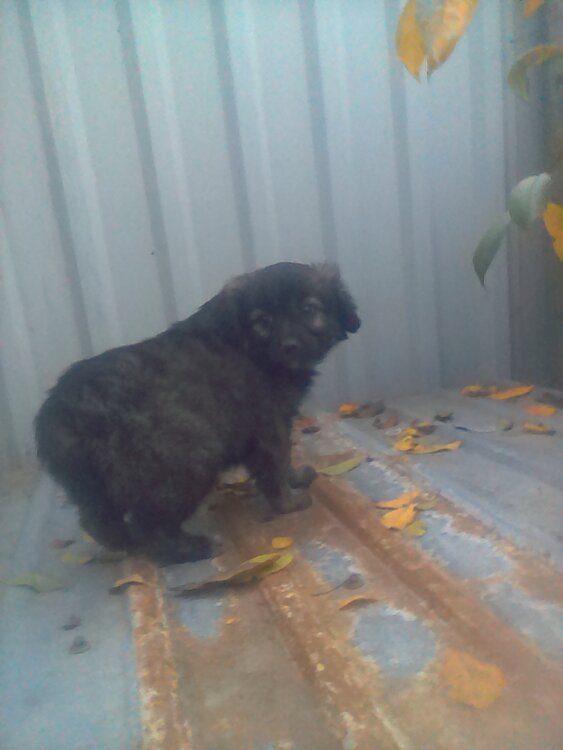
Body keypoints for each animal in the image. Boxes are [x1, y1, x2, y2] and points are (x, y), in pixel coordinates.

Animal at [35, 262, 360, 563]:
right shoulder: (268, 426)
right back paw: (190, 548)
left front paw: (294, 479)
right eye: (263, 321)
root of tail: (59, 416)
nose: (289, 346)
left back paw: (126, 544)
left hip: (94, 485)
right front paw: (288, 503)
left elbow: (283, 462)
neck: (249, 347)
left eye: (308, 309)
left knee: (98, 520)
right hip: (187, 458)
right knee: (149, 525)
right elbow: (275, 465)